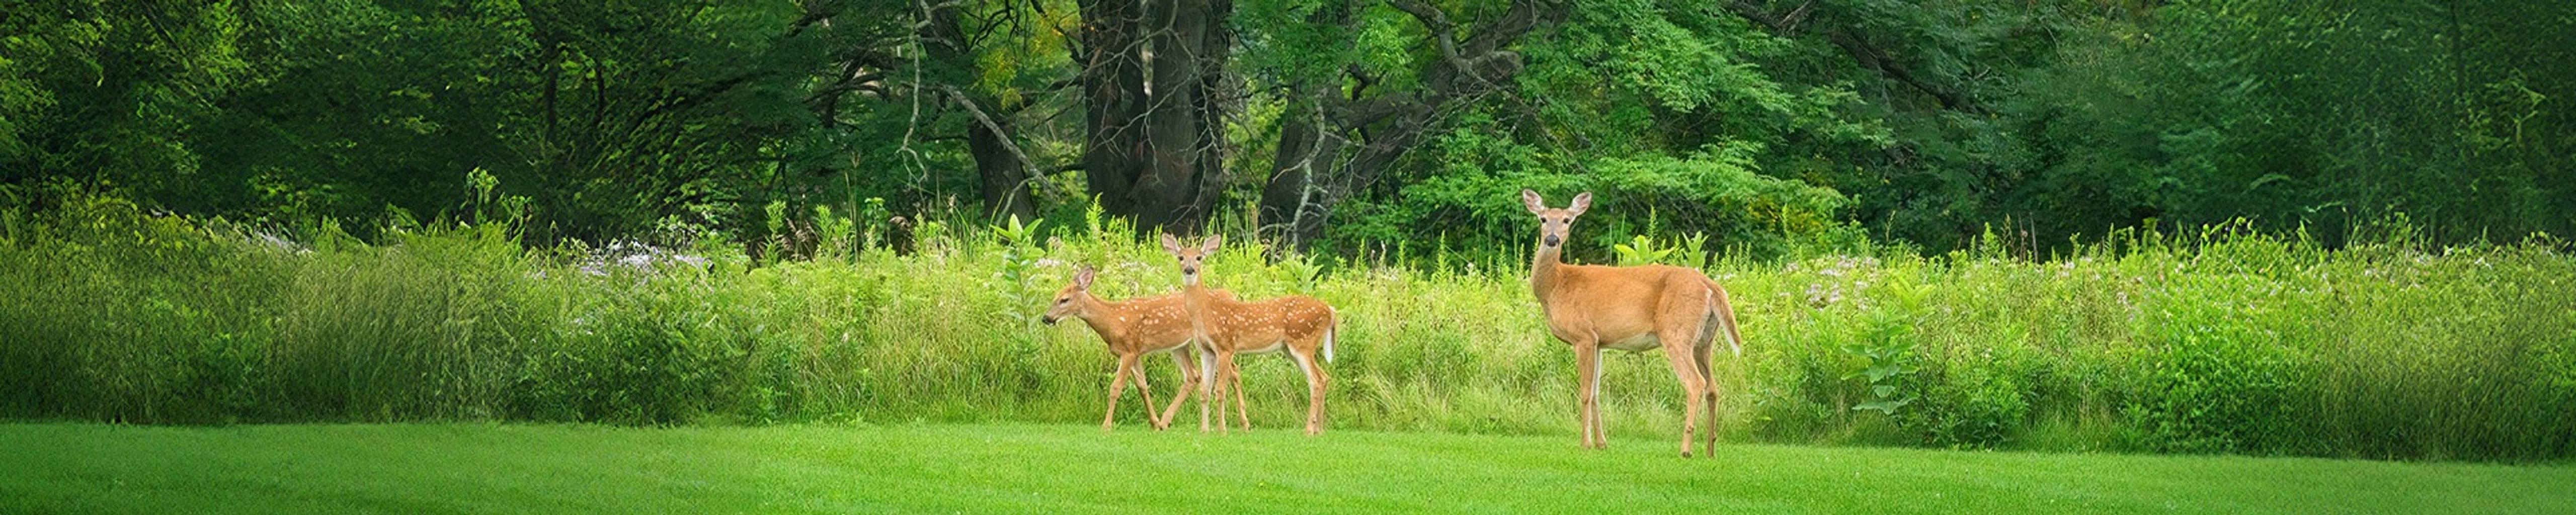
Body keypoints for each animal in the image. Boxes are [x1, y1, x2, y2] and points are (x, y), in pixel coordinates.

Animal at [1045, 265, 1247, 430]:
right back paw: (1165, 421)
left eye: (1064, 300)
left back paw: (1244, 423)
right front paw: (1154, 422)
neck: (1112, 320)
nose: (1046, 318)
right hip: (1180, 346)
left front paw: (1106, 426)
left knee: (1234, 371)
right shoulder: (1135, 352)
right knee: (1194, 376)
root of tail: (1228, 294)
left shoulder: (1129, 351)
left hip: (1214, 342)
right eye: (1054, 297)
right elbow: (1142, 386)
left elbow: (1116, 387)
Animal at [1164, 233, 1339, 435]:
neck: (1206, 313)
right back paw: (1319, 429)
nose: (1190, 269)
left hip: (1303, 342)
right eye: (1181, 257)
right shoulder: (1206, 351)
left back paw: (1309, 430)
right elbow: (1204, 391)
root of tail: (1331, 311)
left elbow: (1220, 390)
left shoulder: (1226, 346)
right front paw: (1204, 430)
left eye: (1199, 257)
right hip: (1291, 349)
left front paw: (1222, 430)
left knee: (1317, 380)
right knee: (1322, 378)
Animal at [1514, 190, 1741, 456]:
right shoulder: (1599, 342)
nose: (1552, 240)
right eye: (1542, 219)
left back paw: (1686, 449)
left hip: (1677, 333)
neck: (1556, 286)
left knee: (1695, 383)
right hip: (1705, 340)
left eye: (1567, 220)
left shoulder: (1583, 336)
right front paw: (1602, 443)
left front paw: (1585, 444)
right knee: (1713, 388)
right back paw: (1710, 451)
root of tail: (1712, 286)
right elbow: (1596, 393)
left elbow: (1585, 392)